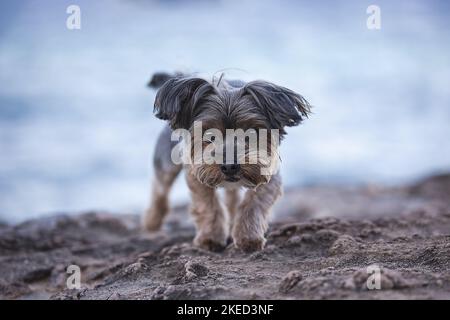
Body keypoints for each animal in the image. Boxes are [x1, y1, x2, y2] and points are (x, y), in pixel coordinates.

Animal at [144, 73, 310, 252]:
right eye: (210, 136)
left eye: (251, 134)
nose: (230, 166)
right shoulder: (196, 171)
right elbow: (207, 204)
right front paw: (211, 237)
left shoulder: (269, 172)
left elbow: (255, 203)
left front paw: (248, 237)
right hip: (166, 159)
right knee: (160, 188)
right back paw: (152, 221)